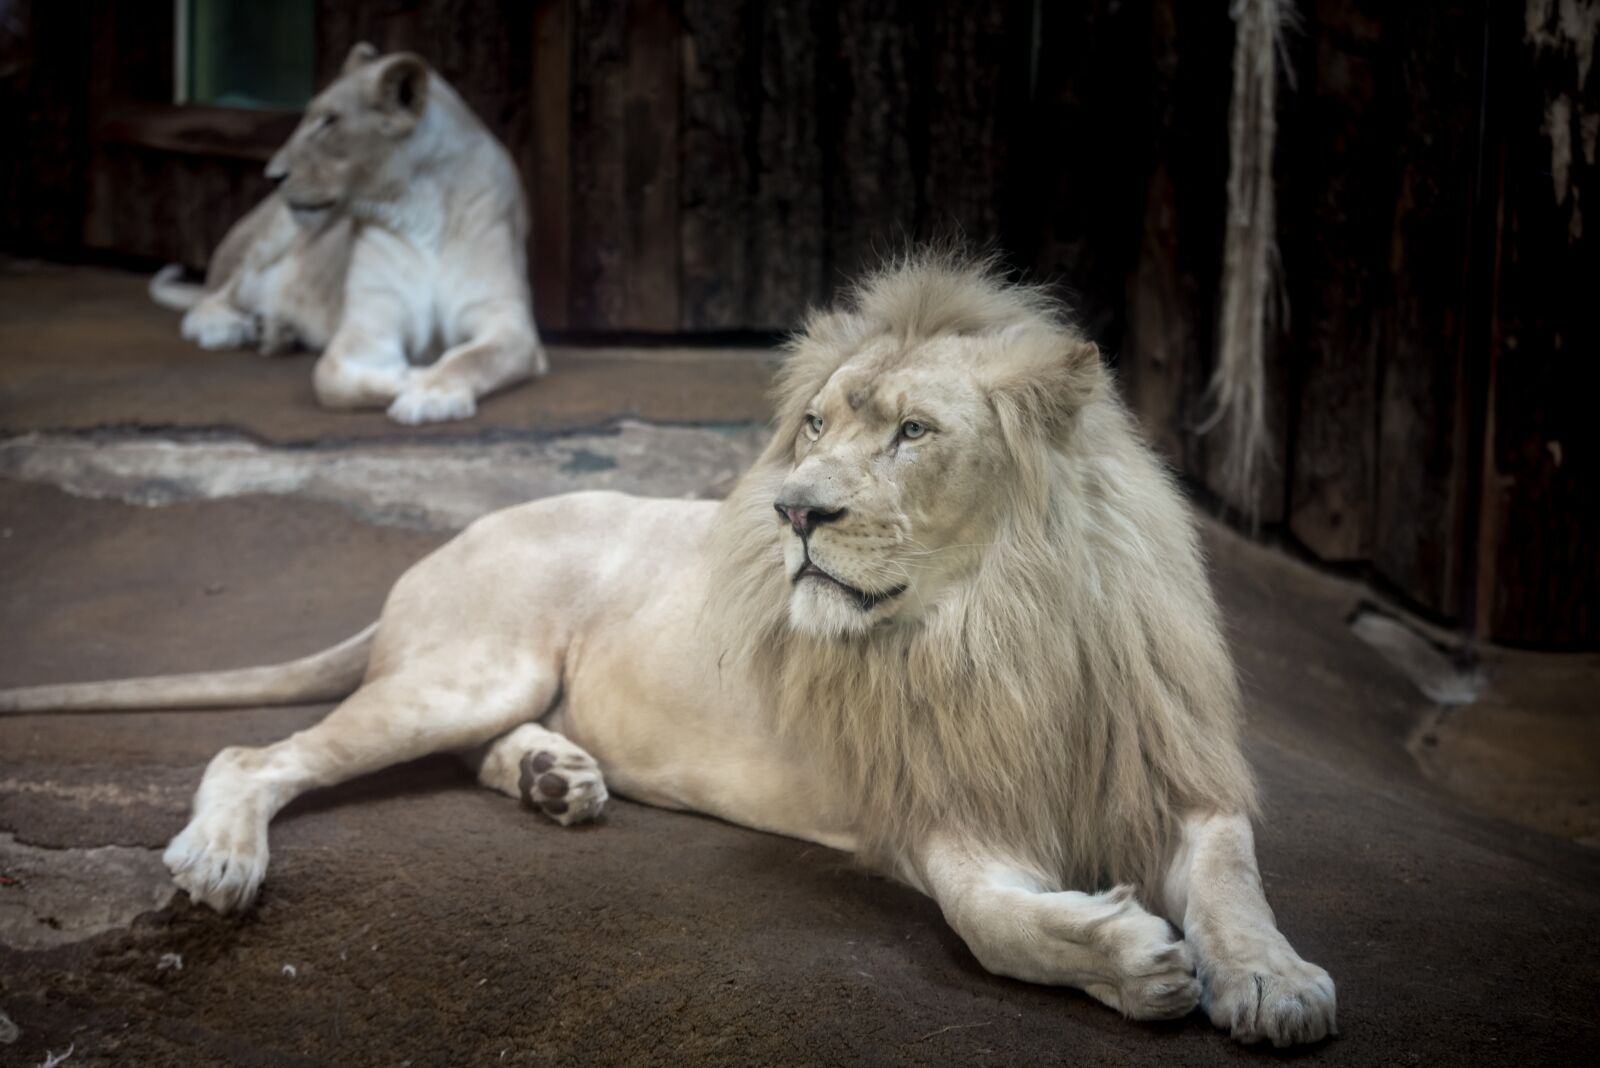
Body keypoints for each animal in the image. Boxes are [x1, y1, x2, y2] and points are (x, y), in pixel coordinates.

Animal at [0, 256, 1336, 1046]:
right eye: (812, 425)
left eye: (912, 432)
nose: (792, 511)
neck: (1000, 624)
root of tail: (443, 543)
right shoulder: (931, 812)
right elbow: (994, 924)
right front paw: (1132, 960)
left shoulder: (1171, 774)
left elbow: (1233, 877)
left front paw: (1273, 982)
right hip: (468, 668)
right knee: (252, 755)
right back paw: (223, 856)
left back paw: (556, 778)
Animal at [149, 43, 546, 425]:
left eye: (330, 121)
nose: (273, 175)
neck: (420, 208)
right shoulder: (368, 326)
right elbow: (329, 376)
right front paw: (409, 379)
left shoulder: (506, 322)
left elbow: (473, 358)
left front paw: (430, 393)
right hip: (269, 237)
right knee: (211, 297)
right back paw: (229, 328)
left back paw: (274, 330)